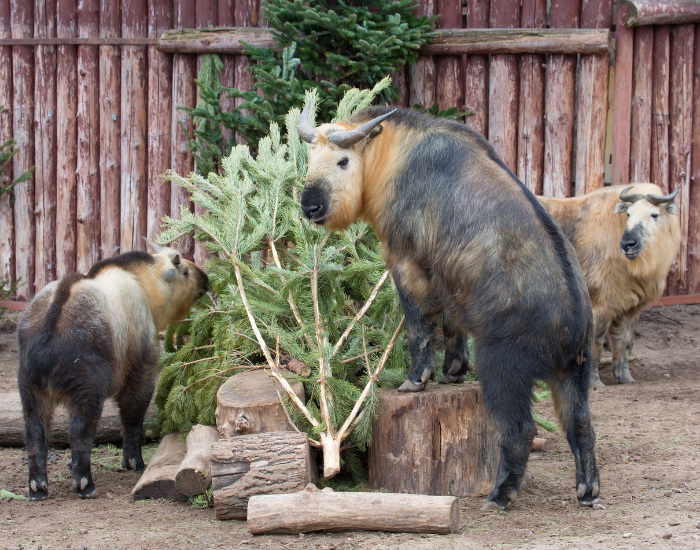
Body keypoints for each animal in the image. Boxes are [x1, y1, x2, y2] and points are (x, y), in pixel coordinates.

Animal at [17, 242, 208, 500]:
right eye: (185, 272)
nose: (206, 280)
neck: (142, 282)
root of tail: (52, 321)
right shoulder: (140, 372)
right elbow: (132, 419)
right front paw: (133, 461)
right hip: (87, 390)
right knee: (80, 432)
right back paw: (85, 483)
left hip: (30, 389)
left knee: (34, 431)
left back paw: (37, 486)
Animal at [297, 104, 600, 511]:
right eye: (310, 158)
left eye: (343, 160)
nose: (310, 206)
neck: (389, 154)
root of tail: (573, 322)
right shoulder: (450, 276)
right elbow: (452, 323)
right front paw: (453, 371)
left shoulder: (406, 261)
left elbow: (419, 325)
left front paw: (416, 378)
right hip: (573, 375)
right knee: (581, 424)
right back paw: (587, 491)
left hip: (502, 370)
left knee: (520, 429)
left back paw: (500, 495)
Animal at [539, 184, 681, 386]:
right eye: (628, 214)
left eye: (655, 215)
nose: (628, 244)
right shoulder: (601, 304)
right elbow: (596, 343)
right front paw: (594, 381)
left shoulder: (631, 309)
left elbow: (625, 343)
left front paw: (626, 377)